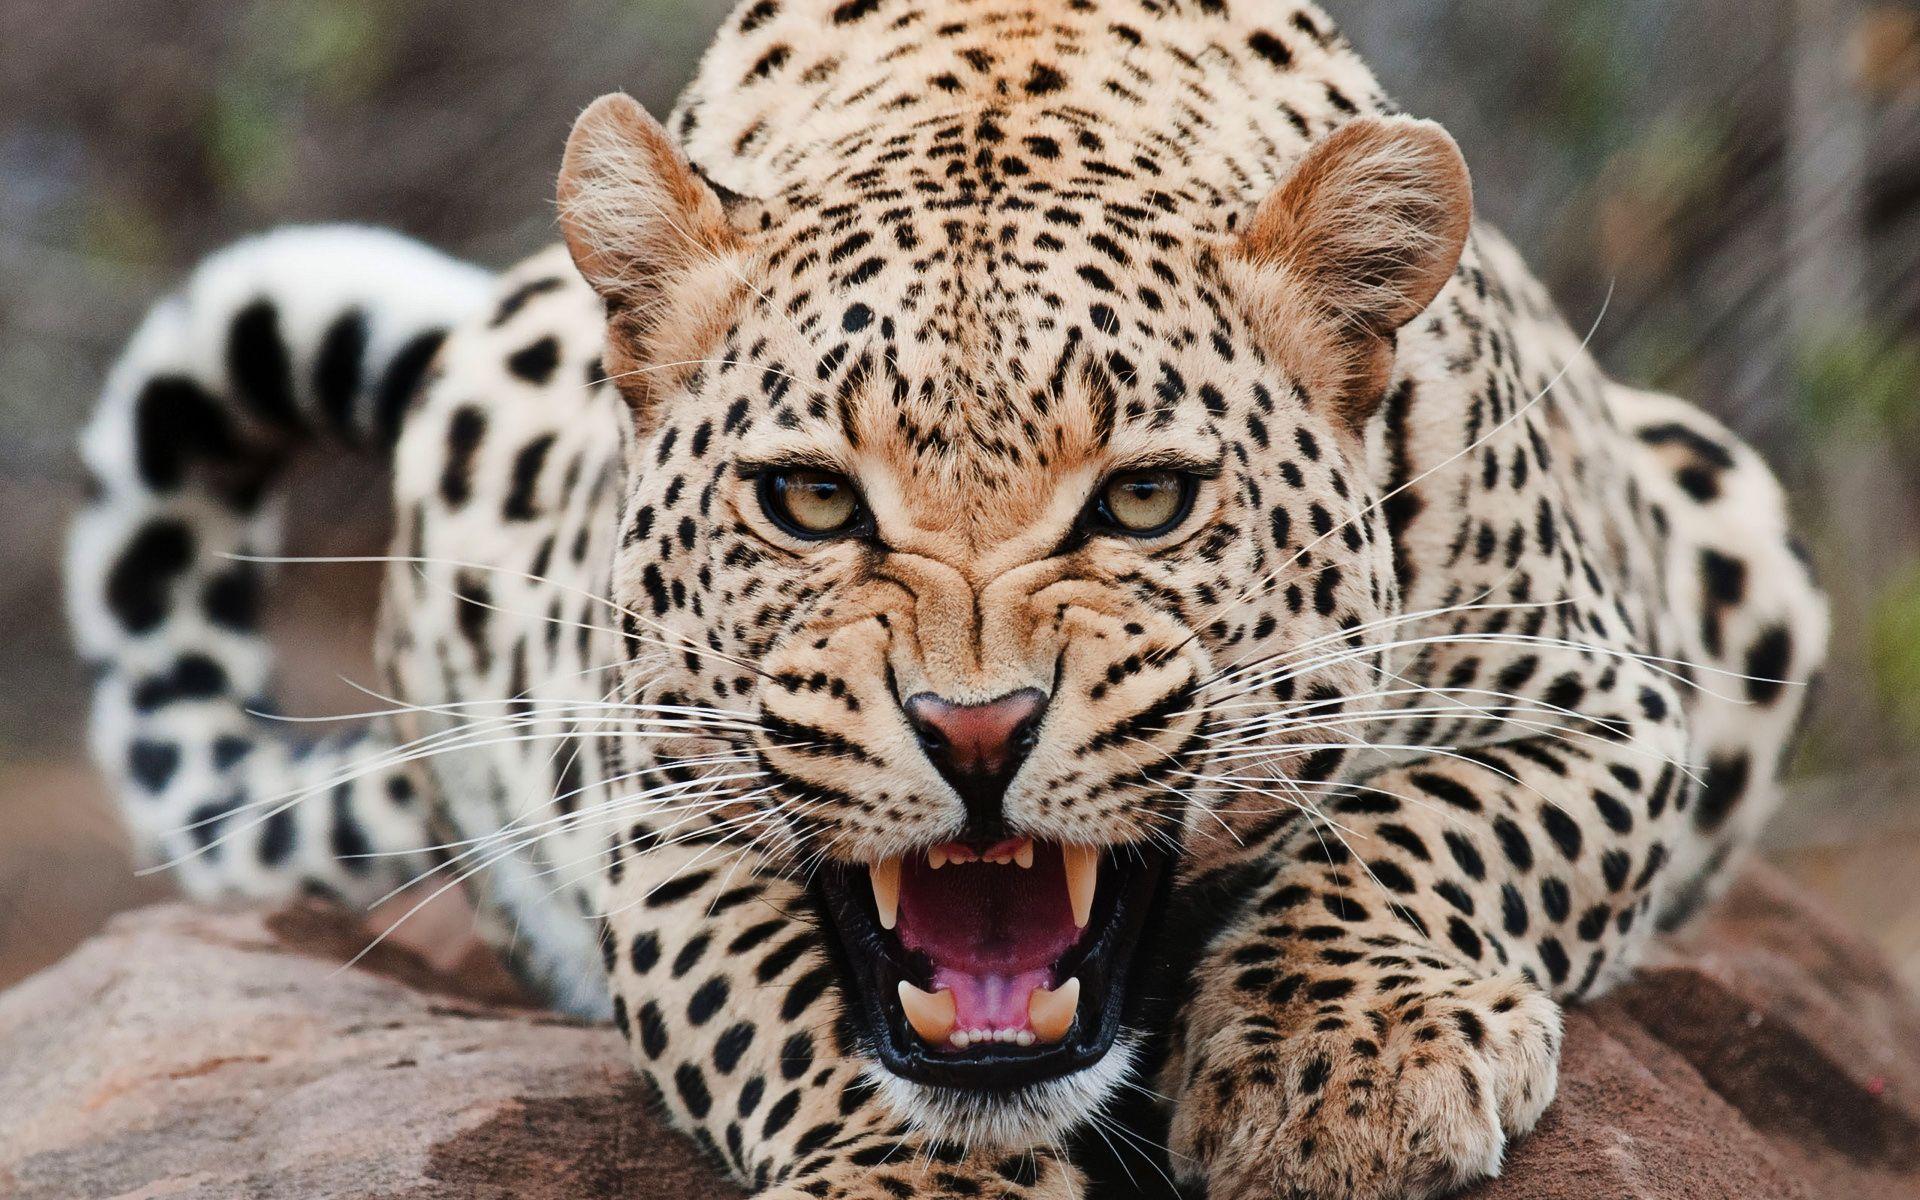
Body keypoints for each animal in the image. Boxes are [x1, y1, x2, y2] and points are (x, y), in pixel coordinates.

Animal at [67, 1, 1829, 1197]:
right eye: (809, 501)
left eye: (1144, 500)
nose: (975, 732)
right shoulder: (655, 804)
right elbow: (776, 998)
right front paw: (915, 1178)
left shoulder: (1604, 701)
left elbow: (1429, 827)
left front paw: (1342, 1072)